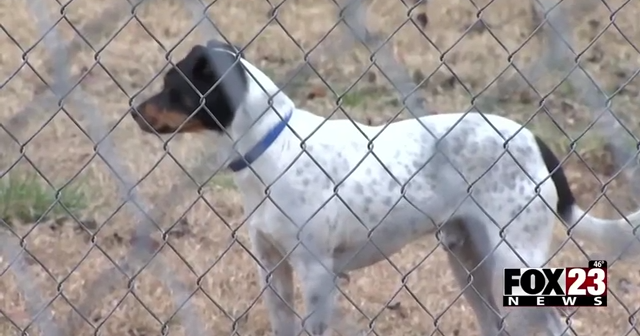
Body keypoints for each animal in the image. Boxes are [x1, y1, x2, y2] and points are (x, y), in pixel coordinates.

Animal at [130, 41, 640, 336]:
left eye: (172, 86)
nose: (133, 111)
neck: (274, 146)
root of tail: (536, 141)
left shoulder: (316, 273)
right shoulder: (272, 268)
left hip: (512, 259)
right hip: (470, 263)